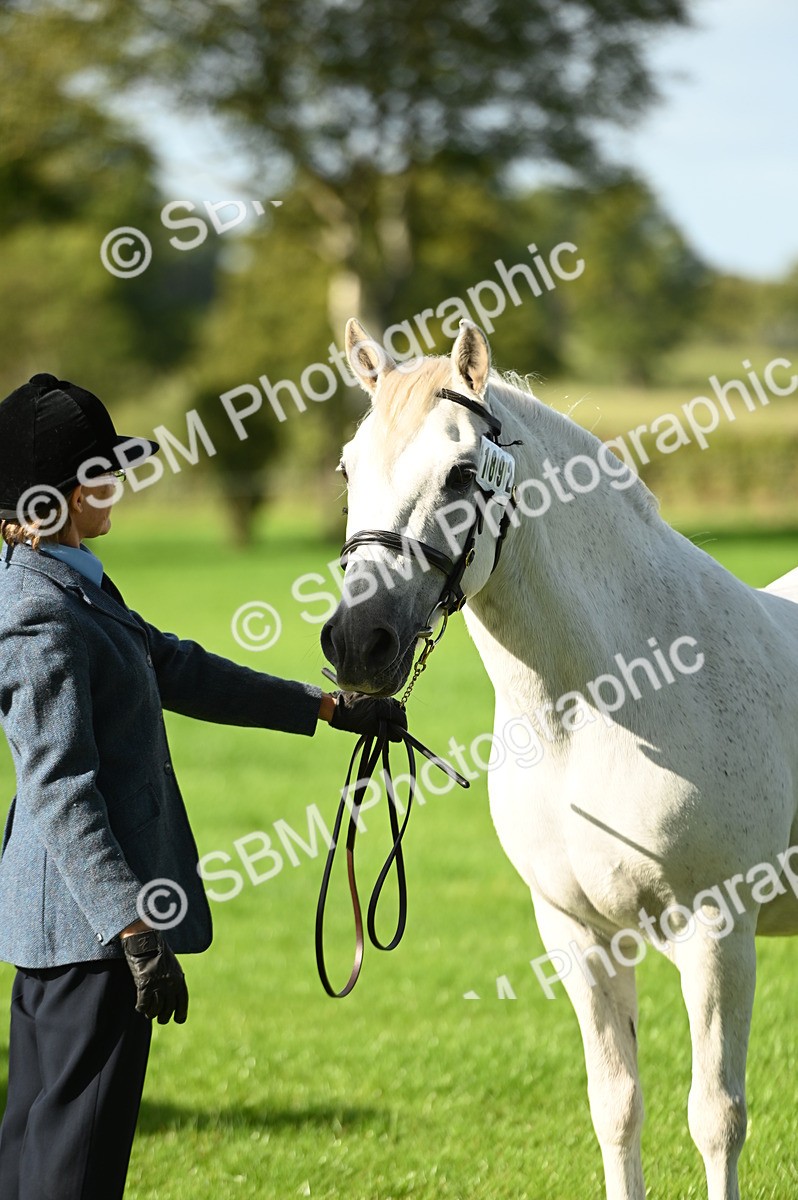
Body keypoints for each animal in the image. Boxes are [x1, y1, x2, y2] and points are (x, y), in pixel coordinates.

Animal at [320, 317, 798, 1200]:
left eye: (461, 472)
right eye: (348, 468)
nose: (358, 642)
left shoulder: (719, 932)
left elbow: (716, 1117)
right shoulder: (578, 934)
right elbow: (617, 1107)